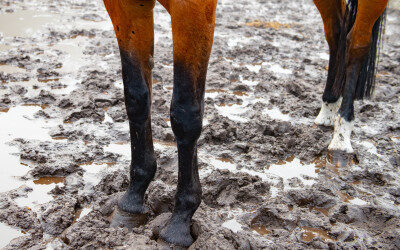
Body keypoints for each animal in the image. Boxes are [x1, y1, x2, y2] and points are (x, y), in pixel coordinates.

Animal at [102, 0, 388, 246]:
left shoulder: (193, 7)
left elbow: (184, 113)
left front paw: (178, 225)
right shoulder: (125, 6)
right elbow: (137, 97)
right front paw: (132, 201)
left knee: (357, 42)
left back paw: (341, 136)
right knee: (337, 31)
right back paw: (328, 109)